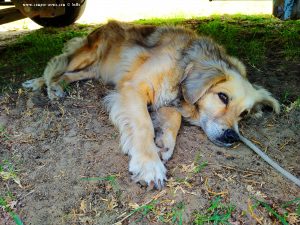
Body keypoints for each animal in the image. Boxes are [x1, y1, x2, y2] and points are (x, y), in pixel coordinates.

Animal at [22, 21, 280, 190]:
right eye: (223, 97)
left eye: (244, 114)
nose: (232, 137)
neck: (185, 64)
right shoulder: (134, 88)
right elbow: (144, 124)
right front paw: (149, 164)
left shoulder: (166, 98)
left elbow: (174, 119)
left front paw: (164, 141)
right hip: (87, 54)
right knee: (58, 65)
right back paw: (43, 84)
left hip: (94, 69)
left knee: (69, 74)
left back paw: (54, 85)